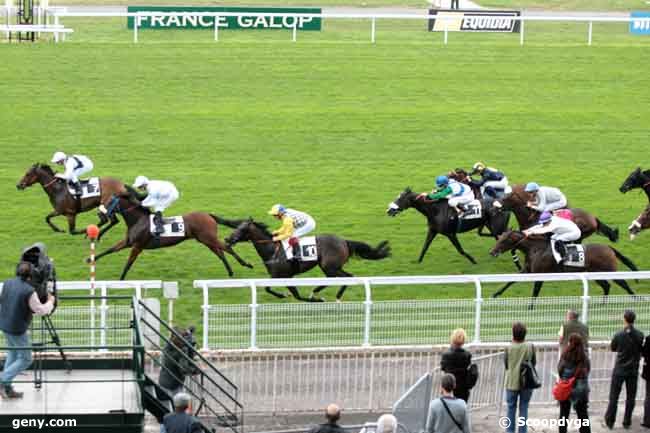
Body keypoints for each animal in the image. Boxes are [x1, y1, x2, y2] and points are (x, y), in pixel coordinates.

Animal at [90, 194, 252, 278]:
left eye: (109, 202)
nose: (100, 214)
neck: (138, 221)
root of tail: (208, 215)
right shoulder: (128, 241)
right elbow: (110, 249)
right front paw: (90, 259)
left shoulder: (137, 246)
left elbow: (129, 263)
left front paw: (121, 279)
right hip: (205, 240)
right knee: (220, 253)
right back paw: (230, 271)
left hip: (208, 238)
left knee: (227, 248)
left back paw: (246, 264)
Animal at [221, 218, 390, 302]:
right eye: (236, 226)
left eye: (242, 229)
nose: (227, 239)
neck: (272, 250)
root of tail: (344, 241)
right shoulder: (284, 277)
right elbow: (278, 291)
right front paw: (284, 295)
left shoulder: (282, 275)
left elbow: (283, 292)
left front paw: (317, 300)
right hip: (329, 266)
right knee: (338, 277)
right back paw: (316, 292)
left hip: (330, 266)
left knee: (346, 277)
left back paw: (333, 296)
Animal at [488, 230, 636, 300]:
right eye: (499, 238)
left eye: (503, 240)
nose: (492, 252)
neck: (535, 249)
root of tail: (609, 248)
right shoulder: (527, 271)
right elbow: (510, 281)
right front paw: (495, 294)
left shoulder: (540, 274)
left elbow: (535, 291)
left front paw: (530, 308)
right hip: (595, 273)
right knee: (606, 286)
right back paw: (603, 304)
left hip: (609, 270)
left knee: (623, 284)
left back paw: (636, 299)